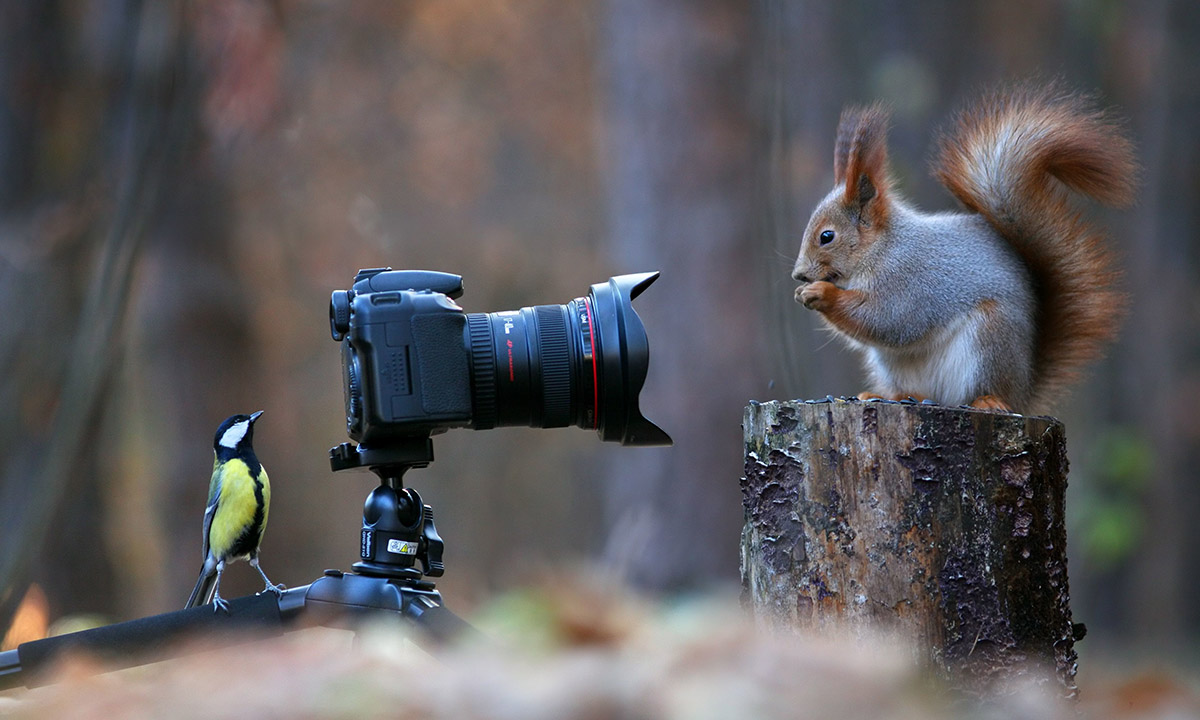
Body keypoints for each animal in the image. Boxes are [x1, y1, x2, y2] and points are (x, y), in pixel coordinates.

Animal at [792, 84, 1137, 414]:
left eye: (827, 236)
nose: (799, 275)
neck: (882, 249)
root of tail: (1023, 391)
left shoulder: (911, 280)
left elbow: (889, 319)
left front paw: (821, 293)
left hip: (989, 340)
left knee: (981, 390)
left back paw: (987, 401)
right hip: (895, 366)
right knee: (920, 393)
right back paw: (891, 395)